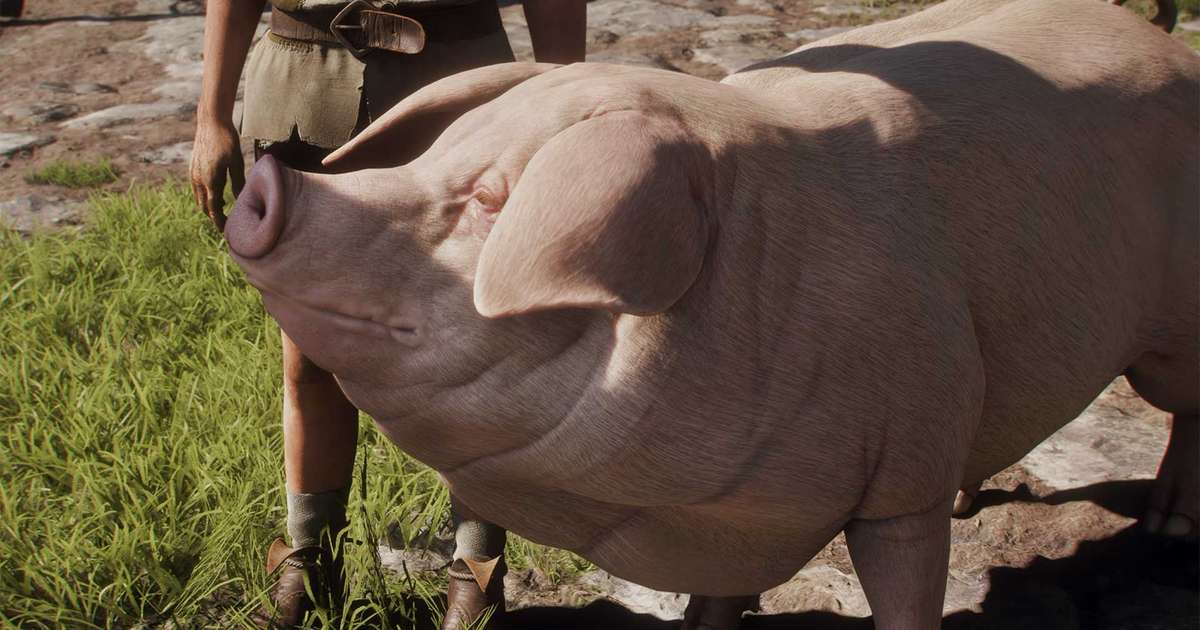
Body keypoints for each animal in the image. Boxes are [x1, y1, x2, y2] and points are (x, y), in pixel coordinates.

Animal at [223, 0, 1199, 627]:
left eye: (497, 199)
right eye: (437, 155)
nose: (271, 179)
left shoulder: (903, 475)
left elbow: (905, 581)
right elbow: (718, 603)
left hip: (1172, 333)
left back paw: (1169, 528)